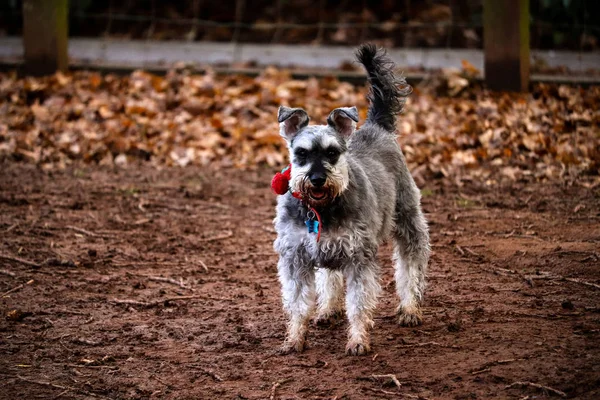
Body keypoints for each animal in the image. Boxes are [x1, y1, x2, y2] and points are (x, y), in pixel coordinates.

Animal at [272, 43, 432, 356]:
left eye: (333, 153)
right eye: (301, 153)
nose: (317, 179)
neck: (321, 210)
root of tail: (375, 126)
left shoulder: (359, 258)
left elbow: (358, 304)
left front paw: (358, 341)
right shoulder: (296, 258)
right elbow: (298, 304)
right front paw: (294, 338)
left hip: (408, 221)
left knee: (411, 265)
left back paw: (409, 308)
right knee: (329, 277)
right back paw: (326, 310)